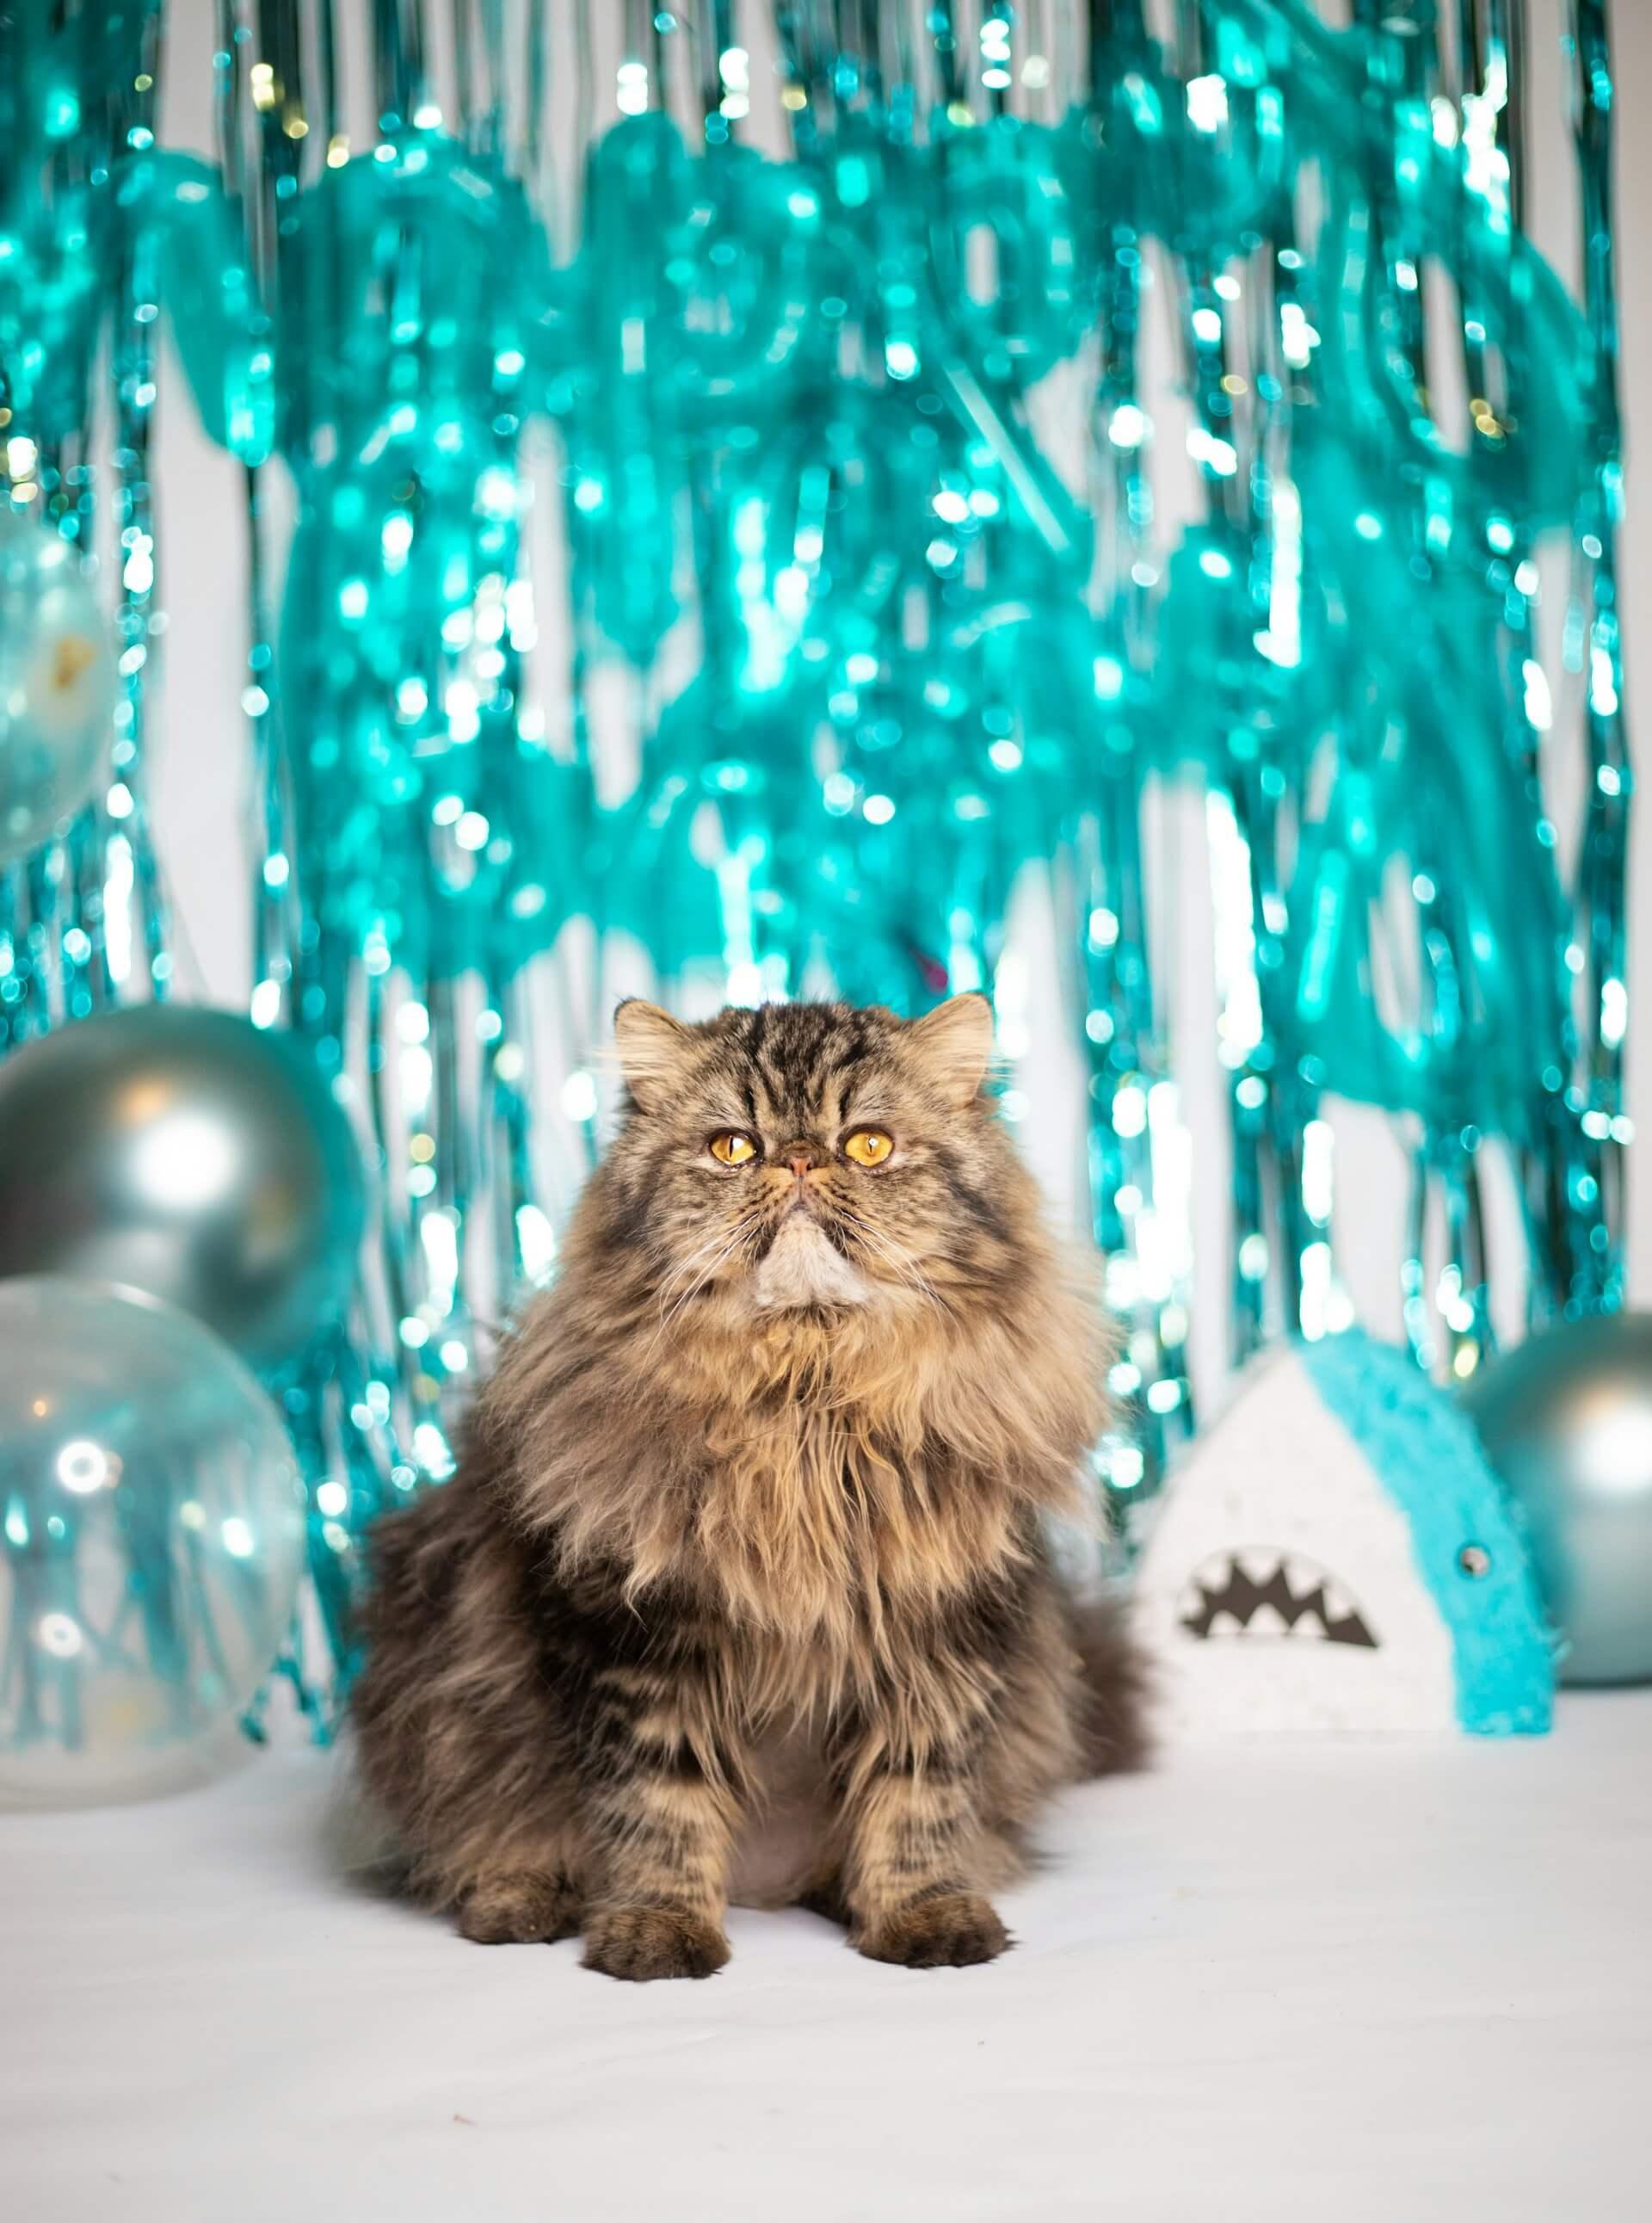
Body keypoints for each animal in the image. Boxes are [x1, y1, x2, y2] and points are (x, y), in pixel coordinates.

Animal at [355, 991, 1147, 1983]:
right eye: (733, 1146)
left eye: (867, 1145)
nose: (800, 1158)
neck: (802, 1412)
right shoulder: (639, 1642)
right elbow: (661, 1809)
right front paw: (657, 1931)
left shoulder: (940, 1640)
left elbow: (916, 1803)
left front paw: (921, 1917)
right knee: (486, 1840)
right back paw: (521, 1902)